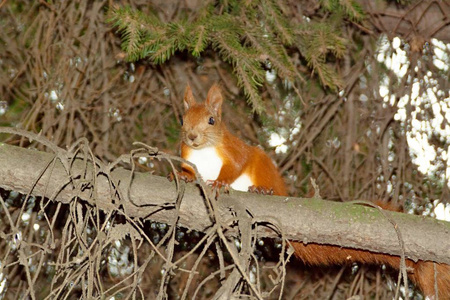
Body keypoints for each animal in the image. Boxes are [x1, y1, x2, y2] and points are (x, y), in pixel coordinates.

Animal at [175, 83, 450, 298]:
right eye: (182, 120)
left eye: (212, 120)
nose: (192, 136)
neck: (203, 151)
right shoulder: (187, 156)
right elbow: (187, 170)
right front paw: (181, 176)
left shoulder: (235, 150)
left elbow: (236, 164)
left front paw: (220, 183)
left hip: (263, 166)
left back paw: (263, 191)